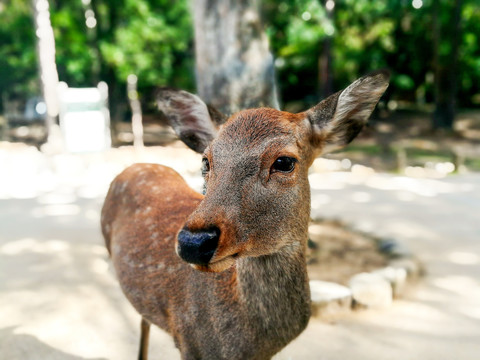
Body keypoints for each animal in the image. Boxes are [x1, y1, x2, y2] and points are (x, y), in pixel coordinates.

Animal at [101, 70, 390, 360]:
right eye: (206, 161)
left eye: (284, 162)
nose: (193, 243)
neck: (249, 346)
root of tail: (137, 164)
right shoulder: (189, 341)